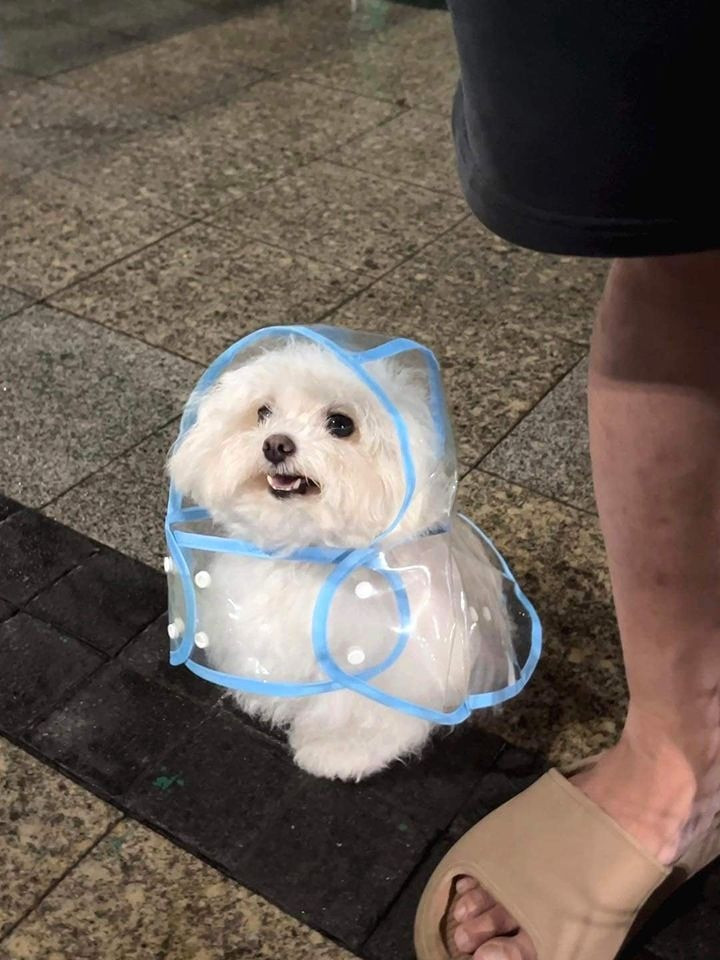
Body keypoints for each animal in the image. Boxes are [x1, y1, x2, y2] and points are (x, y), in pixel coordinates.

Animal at [169, 338, 512, 780]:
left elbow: (361, 714)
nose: (275, 444)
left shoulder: (383, 662)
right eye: (263, 412)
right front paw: (266, 698)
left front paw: (339, 751)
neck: (313, 556)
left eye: (341, 424)